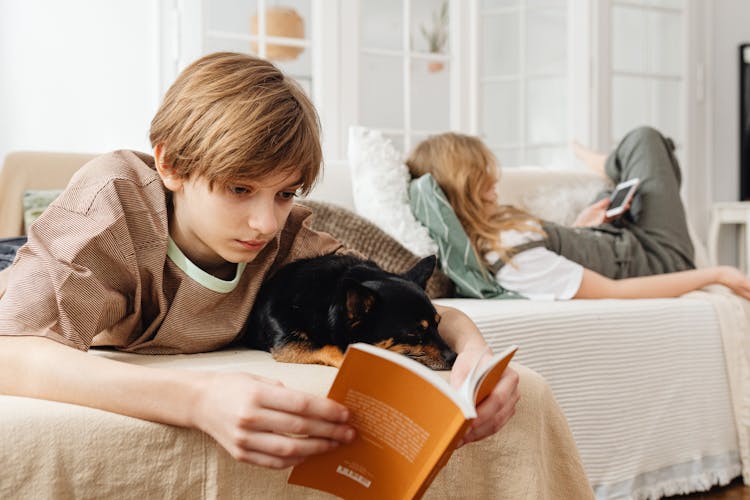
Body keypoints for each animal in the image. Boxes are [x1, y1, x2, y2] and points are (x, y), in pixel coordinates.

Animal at [248, 254, 458, 368]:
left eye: (438, 324)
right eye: (414, 333)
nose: (454, 357)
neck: (328, 298)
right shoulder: (287, 343)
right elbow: (331, 347)